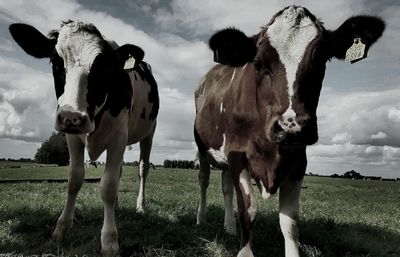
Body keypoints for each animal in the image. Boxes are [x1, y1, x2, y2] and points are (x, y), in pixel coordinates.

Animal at [9, 21, 159, 255]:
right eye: (55, 62)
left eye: (103, 67)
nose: (71, 117)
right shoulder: (73, 138)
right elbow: (75, 180)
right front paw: (61, 228)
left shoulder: (118, 137)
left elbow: (108, 186)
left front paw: (109, 241)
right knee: (119, 172)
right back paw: (116, 206)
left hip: (149, 132)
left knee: (143, 169)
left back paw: (140, 206)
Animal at [194, 5, 384, 256]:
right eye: (258, 62)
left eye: (321, 59)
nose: (291, 125)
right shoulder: (237, 154)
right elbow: (249, 210)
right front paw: (245, 251)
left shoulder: (298, 160)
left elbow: (290, 220)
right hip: (203, 148)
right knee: (204, 181)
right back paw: (201, 218)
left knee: (226, 188)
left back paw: (229, 227)